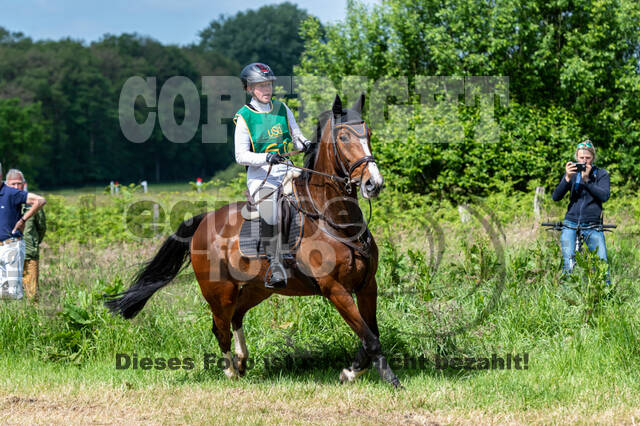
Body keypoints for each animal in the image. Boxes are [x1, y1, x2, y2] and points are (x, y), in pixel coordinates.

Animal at [105, 93, 401, 388]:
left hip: (257, 287)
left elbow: (370, 334)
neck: (334, 217)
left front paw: (352, 370)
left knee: (237, 316)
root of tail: (203, 221)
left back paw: (242, 360)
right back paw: (231, 371)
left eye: (368, 134)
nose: (374, 184)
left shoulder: (367, 285)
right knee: (220, 327)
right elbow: (370, 338)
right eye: (344, 137)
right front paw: (388, 378)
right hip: (219, 293)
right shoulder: (335, 289)